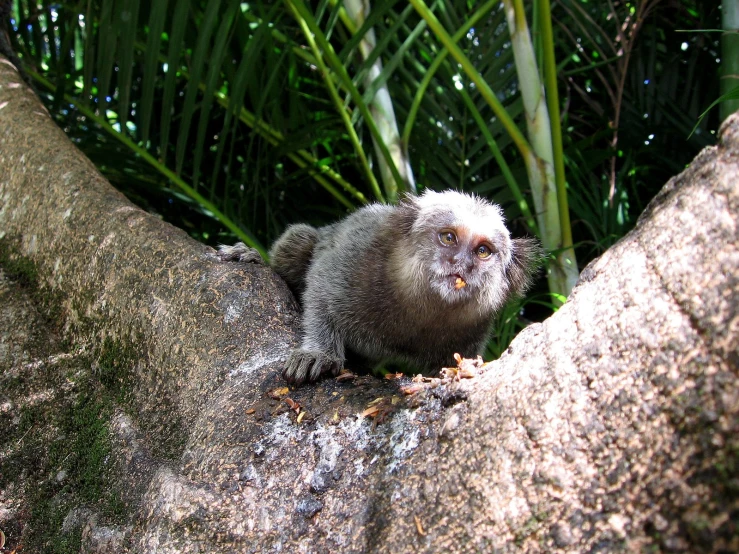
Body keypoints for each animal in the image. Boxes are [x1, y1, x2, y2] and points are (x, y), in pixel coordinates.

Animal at [218, 190, 536, 384]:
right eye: (448, 237)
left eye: (483, 251)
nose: (460, 264)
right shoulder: (359, 257)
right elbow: (321, 288)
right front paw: (318, 354)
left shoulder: (475, 328)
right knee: (298, 242)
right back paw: (253, 256)